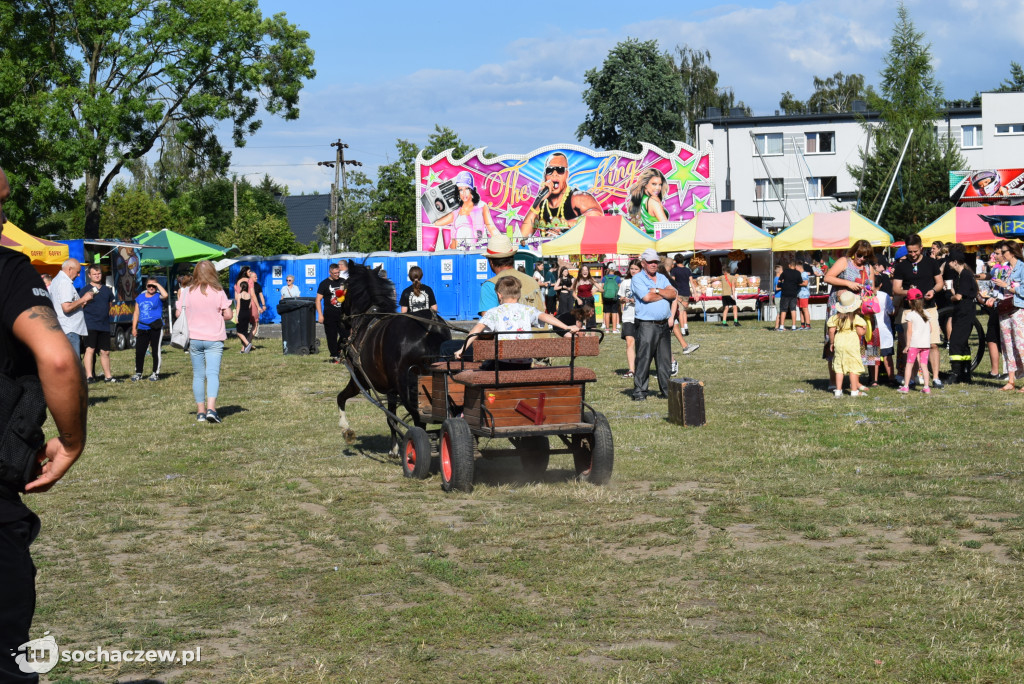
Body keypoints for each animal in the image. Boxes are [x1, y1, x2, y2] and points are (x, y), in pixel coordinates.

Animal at [335, 262, 452, 454]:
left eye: (344, 287)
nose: (342, 318)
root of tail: (431, 327)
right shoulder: (391, 389)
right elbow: (391, 418)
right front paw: (394, 448)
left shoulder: (359, 380)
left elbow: (341, 398)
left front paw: (346, 430)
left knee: (419, 422)